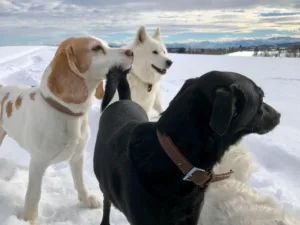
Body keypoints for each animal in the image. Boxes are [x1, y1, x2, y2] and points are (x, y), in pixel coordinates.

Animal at [0, 36, 134, 223]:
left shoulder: (78, 156)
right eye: (96, 48)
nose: (132, 52)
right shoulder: (38, 163)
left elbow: (80, 182)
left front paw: (86, 200)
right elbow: (34, 195)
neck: (68, 113)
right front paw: (29, 219)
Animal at [92, 70, 280, 225]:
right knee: (107, 203)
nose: (279, 115)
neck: (174, 157)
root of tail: (124, 100)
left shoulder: (192, 216)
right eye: (261, 98)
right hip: (104, 185)